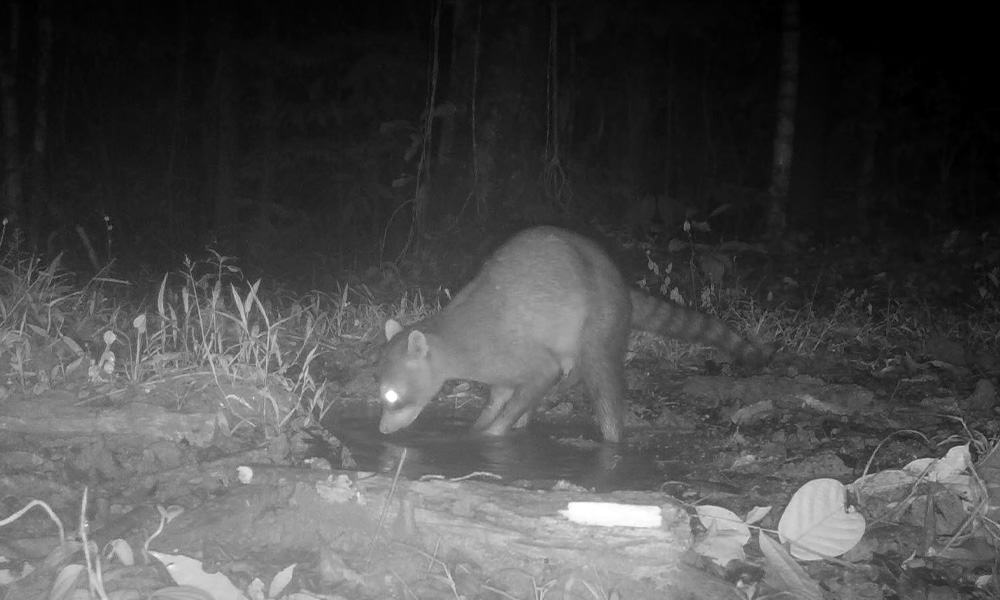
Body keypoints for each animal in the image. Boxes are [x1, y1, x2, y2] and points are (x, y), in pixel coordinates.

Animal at [376, 227, 772, 442]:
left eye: (392, 395)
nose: (380, 431)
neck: (445, 336)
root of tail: (619, 284)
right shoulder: (499, 367)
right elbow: (500, 395)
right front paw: (480, 424)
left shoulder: (508, 347)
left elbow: (537, 378)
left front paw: (493, 433)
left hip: (600, 318)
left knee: (600, 375)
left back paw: (609, 435)